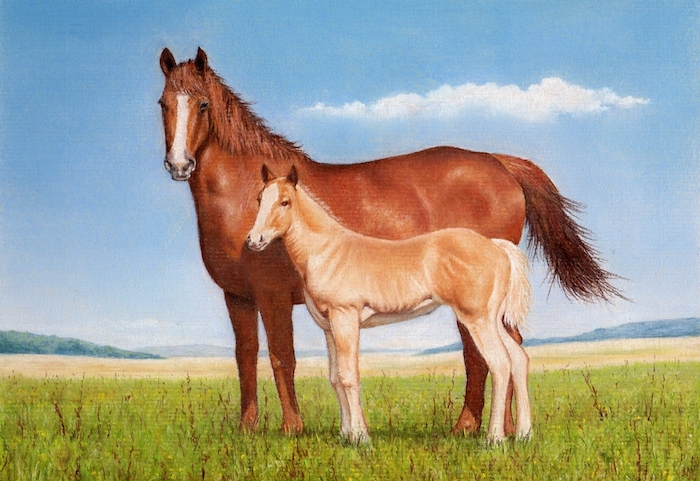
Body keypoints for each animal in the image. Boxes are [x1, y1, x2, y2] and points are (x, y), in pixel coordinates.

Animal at [247, 165, 532, 444]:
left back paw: (494, 439)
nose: (253, 240)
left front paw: (360, 437)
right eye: (259, 198)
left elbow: (348, 376)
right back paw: (524, 434)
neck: (328, 252)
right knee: (518, 358)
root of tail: (496, 246)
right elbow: (335, 378)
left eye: (285, 201)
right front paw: (345, 434)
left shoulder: (345, 318)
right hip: (493, 320)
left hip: (477, 320)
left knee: (500, 363)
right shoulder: (329, 327)